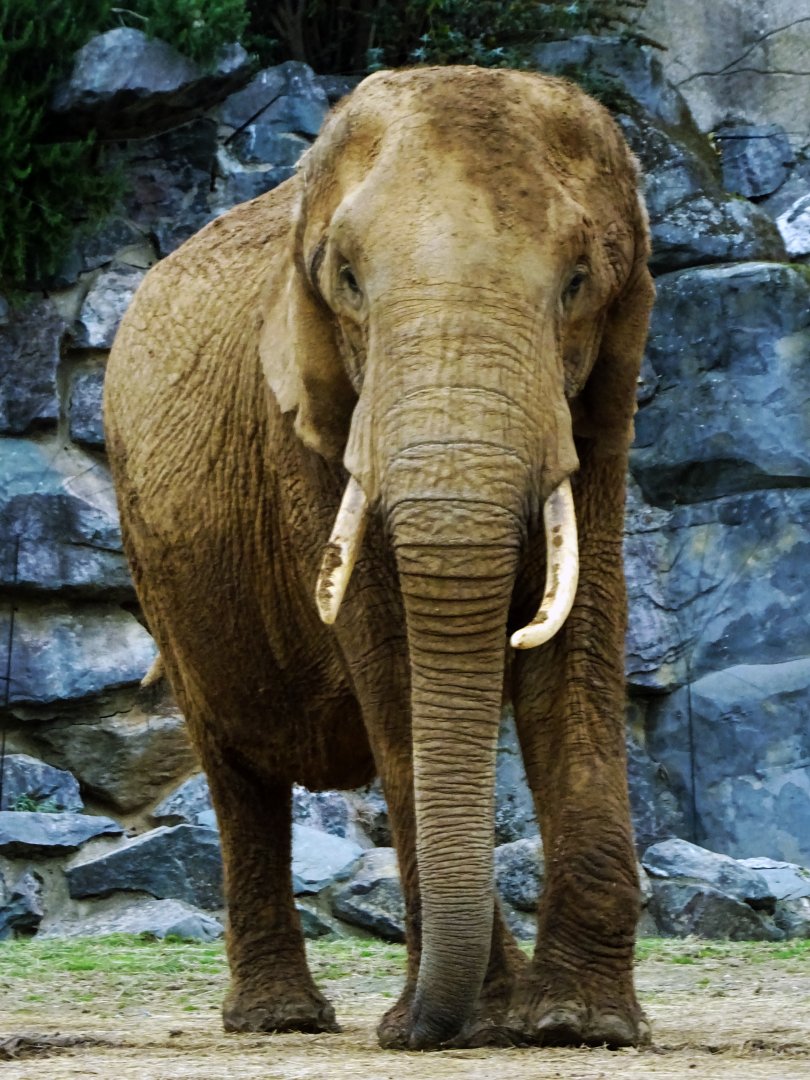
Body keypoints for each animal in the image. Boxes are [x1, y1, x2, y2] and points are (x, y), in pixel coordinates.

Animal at [104, 65, 655, 1051]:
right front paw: (481, 1023)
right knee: (235, 771)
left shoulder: (597, 412)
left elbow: (577, 640)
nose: (409, 1034)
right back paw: (279, 1020)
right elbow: (388, 654)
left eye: (579, 282)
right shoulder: (312, 428)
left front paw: (576, 1026)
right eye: (348, 282)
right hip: (156, 557)